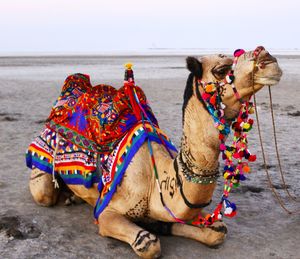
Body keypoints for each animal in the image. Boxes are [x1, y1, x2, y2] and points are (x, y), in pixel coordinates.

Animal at [27, 46, 282, 258]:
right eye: (221, 70)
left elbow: (217, 231)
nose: (268, 58)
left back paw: (73, 197)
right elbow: (148, 244)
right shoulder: (107, 212)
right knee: (45, 195)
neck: (157, 181)